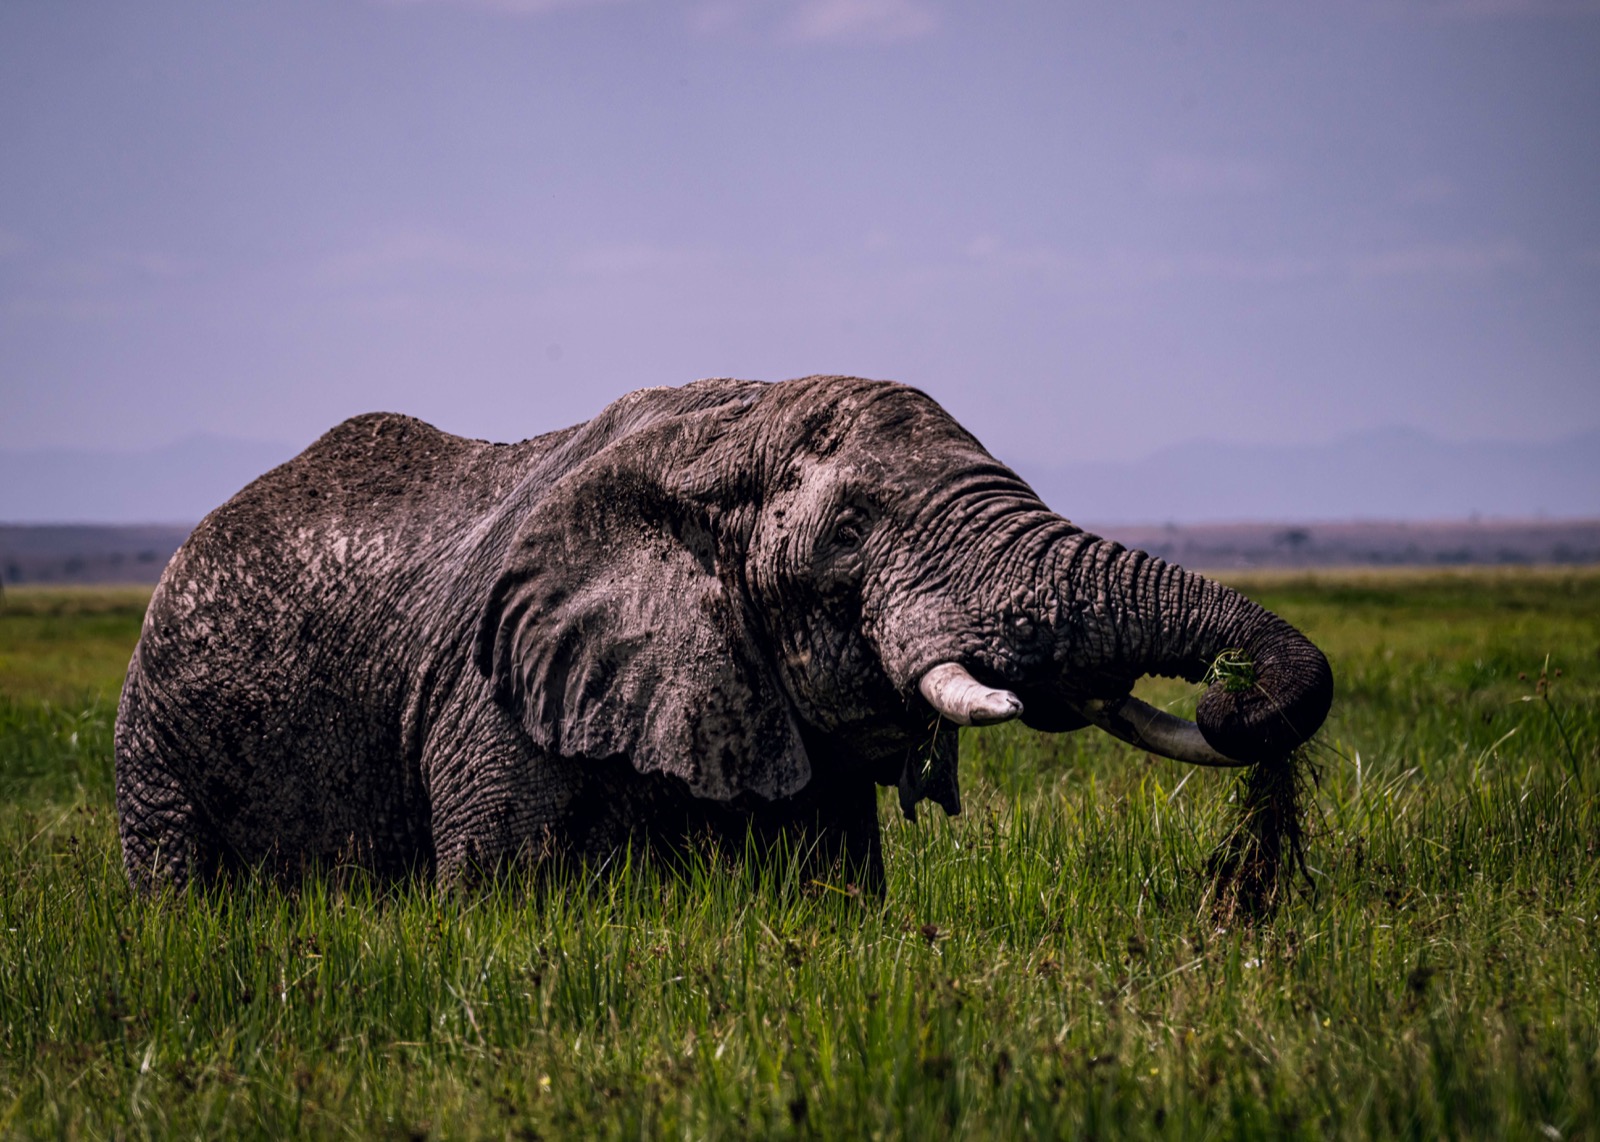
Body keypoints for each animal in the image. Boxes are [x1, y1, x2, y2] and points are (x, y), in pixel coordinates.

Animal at [114, 376, 1333, 895]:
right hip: (156, 732)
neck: (736, 424)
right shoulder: (492, 702)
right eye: (848, 533)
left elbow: (827, 880)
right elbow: (502, 891)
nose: (1230, 694)